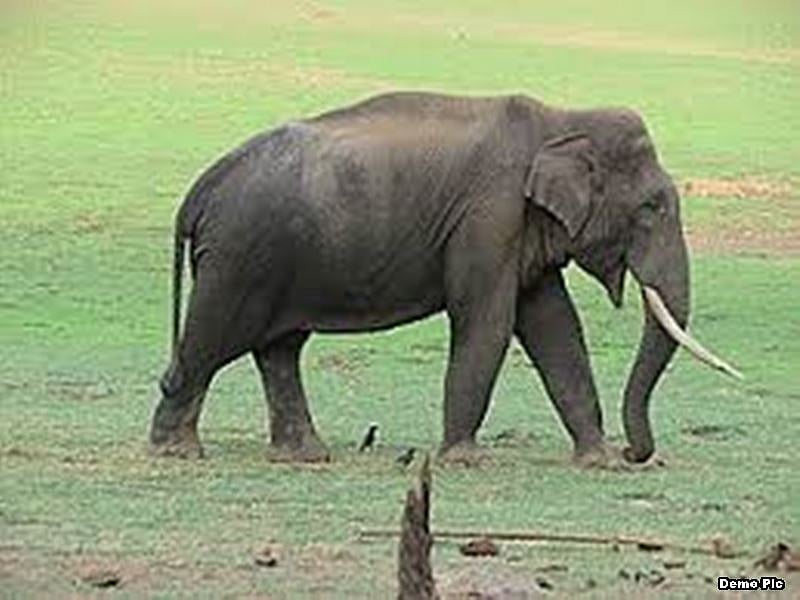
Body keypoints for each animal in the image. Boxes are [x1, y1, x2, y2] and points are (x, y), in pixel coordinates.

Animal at [149, 92, 739, 466]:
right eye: (651, 208)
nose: (633, 453)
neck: (559, 119)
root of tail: (198, 191)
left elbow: (554, 327)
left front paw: (597, 461)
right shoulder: (490, 215)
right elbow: (489, 322)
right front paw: (463, 459)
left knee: (279, 348)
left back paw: (305, 456)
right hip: (241, 256)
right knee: (215, 339)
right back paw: (177, 450)